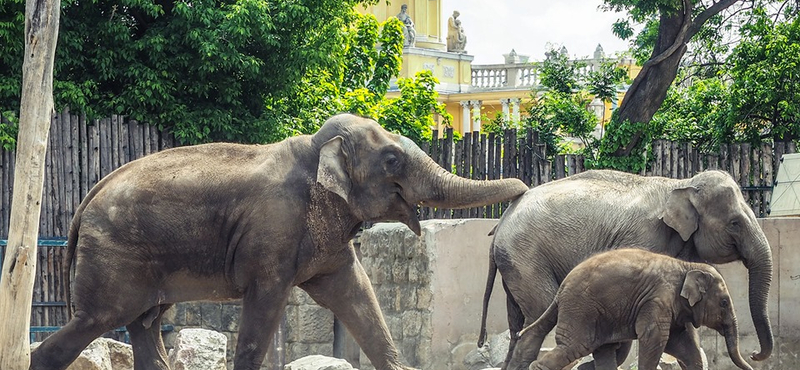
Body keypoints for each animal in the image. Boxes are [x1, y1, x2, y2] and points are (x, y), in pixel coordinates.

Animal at [32, 113, 532, 370]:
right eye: (391, 159)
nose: (525, 190)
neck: (315, 149)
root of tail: (85, 199)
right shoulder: (274, 235)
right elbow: (265, 309)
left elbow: (359, 297)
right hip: (114, 256)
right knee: (101, 319)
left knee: (144, 324)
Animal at [510, 249, 752, 370]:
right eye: (724, 302)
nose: (753, 360)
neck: (686, 266)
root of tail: (562, 288)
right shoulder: (657, 300)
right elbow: (655, 339)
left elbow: (684, 345)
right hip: (581, 310)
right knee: (575, 346)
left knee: (602, 350)